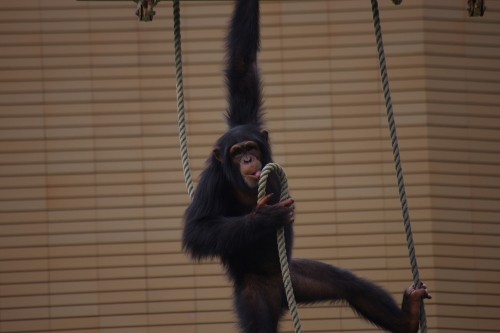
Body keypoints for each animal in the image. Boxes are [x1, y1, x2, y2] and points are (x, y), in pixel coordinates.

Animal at [182, 0, 432, 332]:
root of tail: (282, 297)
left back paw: (407, 316)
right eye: (235, 153)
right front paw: (265, 217)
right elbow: (197, 229)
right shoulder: (213, 182)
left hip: (300, 277)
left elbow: (242, 65)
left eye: (250, 148)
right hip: (256, 294)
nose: (247, 159)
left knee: (350, 286)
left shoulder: (248, 119)